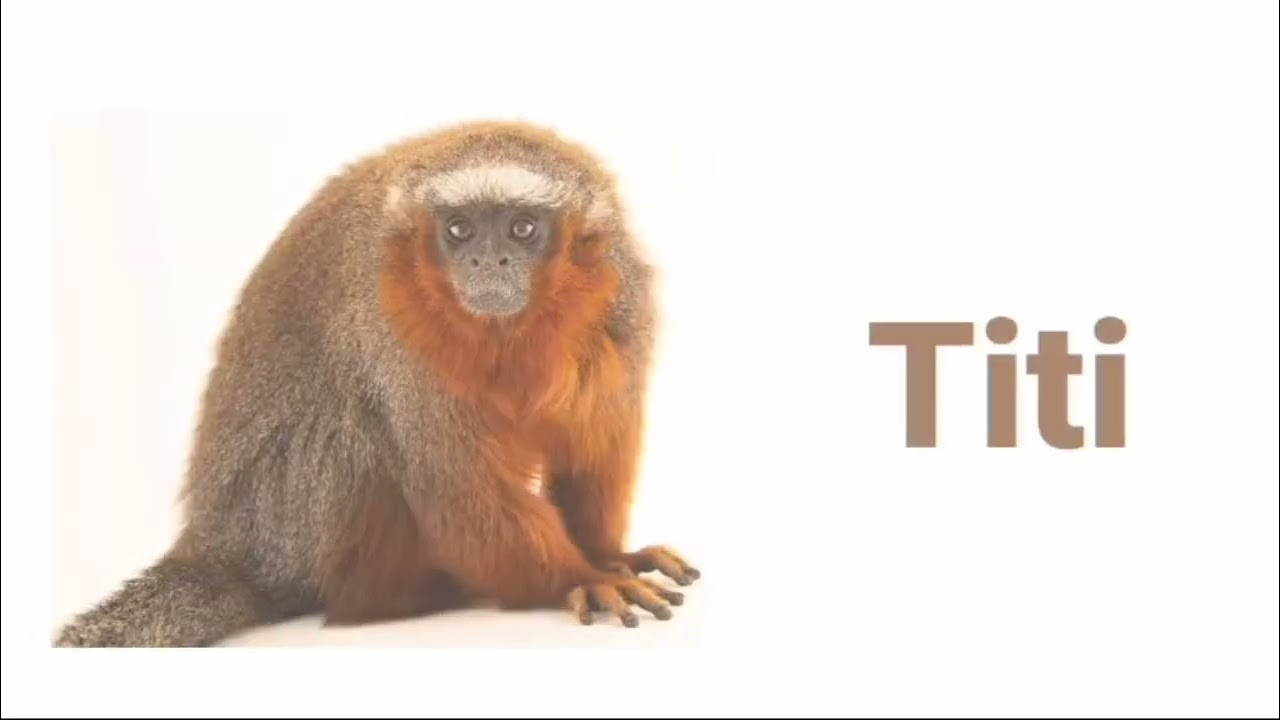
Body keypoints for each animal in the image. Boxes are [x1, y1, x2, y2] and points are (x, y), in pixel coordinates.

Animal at [53, 119, 700, 647]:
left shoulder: (621, 294)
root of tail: (221, 546)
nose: (487, 263)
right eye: (459, 231)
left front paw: (607, 554)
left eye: (522, 229)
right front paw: (582, 575)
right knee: (359, 431)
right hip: (296, 531)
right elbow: (453, 486)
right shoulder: (390, 318)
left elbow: (596, 440)